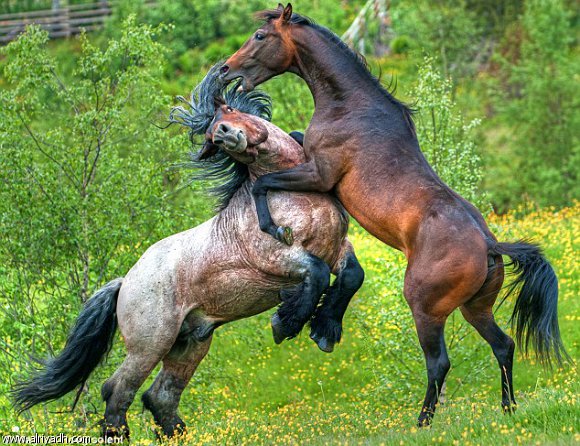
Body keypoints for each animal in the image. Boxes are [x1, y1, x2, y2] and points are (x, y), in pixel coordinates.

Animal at [12, 74, 362, 440]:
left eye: (229, 110)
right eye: (211, 137)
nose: (224, 133)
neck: (292, 194)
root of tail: (125, 282)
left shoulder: (338, 248)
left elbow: (352, 276)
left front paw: (325, 331)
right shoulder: (278, 258)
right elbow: (317, 273)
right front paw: (286, 324)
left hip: (190, 343)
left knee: (160, 396)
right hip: (151, 344)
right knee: (118, 389)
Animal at [220, 4, 568, 428]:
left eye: (259, 36)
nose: (226, 69)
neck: (349, 105)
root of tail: (489, 244)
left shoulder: (319, 175)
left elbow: (263, 184)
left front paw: (273, 228)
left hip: (425, 308)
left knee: (439, 363)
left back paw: (422, 424)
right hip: (476, 308)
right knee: (503, 346)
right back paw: (508, 410)